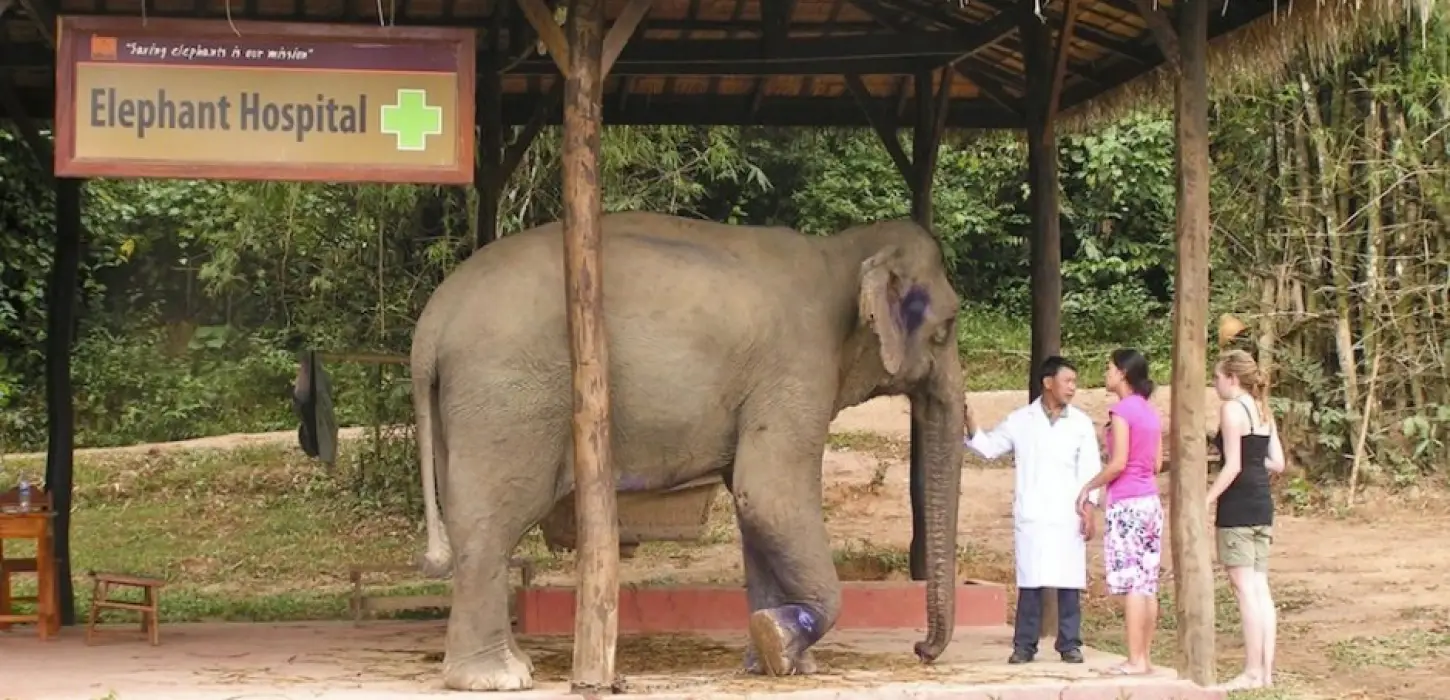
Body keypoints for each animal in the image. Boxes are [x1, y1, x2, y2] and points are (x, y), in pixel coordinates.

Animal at [410, 212, 965, 691]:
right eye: (945, 329)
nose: (921, 650)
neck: (842, 249)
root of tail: (430, 327)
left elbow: (752, 505)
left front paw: (777, 662)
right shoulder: (797, 366)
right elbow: (768, 497)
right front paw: (780, 644)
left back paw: (510, 665)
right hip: (507, 396)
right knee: (492, 521)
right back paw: (498, 678)